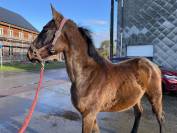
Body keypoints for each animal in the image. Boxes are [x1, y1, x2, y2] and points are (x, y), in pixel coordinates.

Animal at [27, 5, 164, 133]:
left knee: (160, 118)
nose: (29, 53)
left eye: (46, 29)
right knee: (139, 113)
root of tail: (153, 65)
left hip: (155, 97)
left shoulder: (88, 115)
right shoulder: (90, 116)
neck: (87, 75)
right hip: (135, 98)